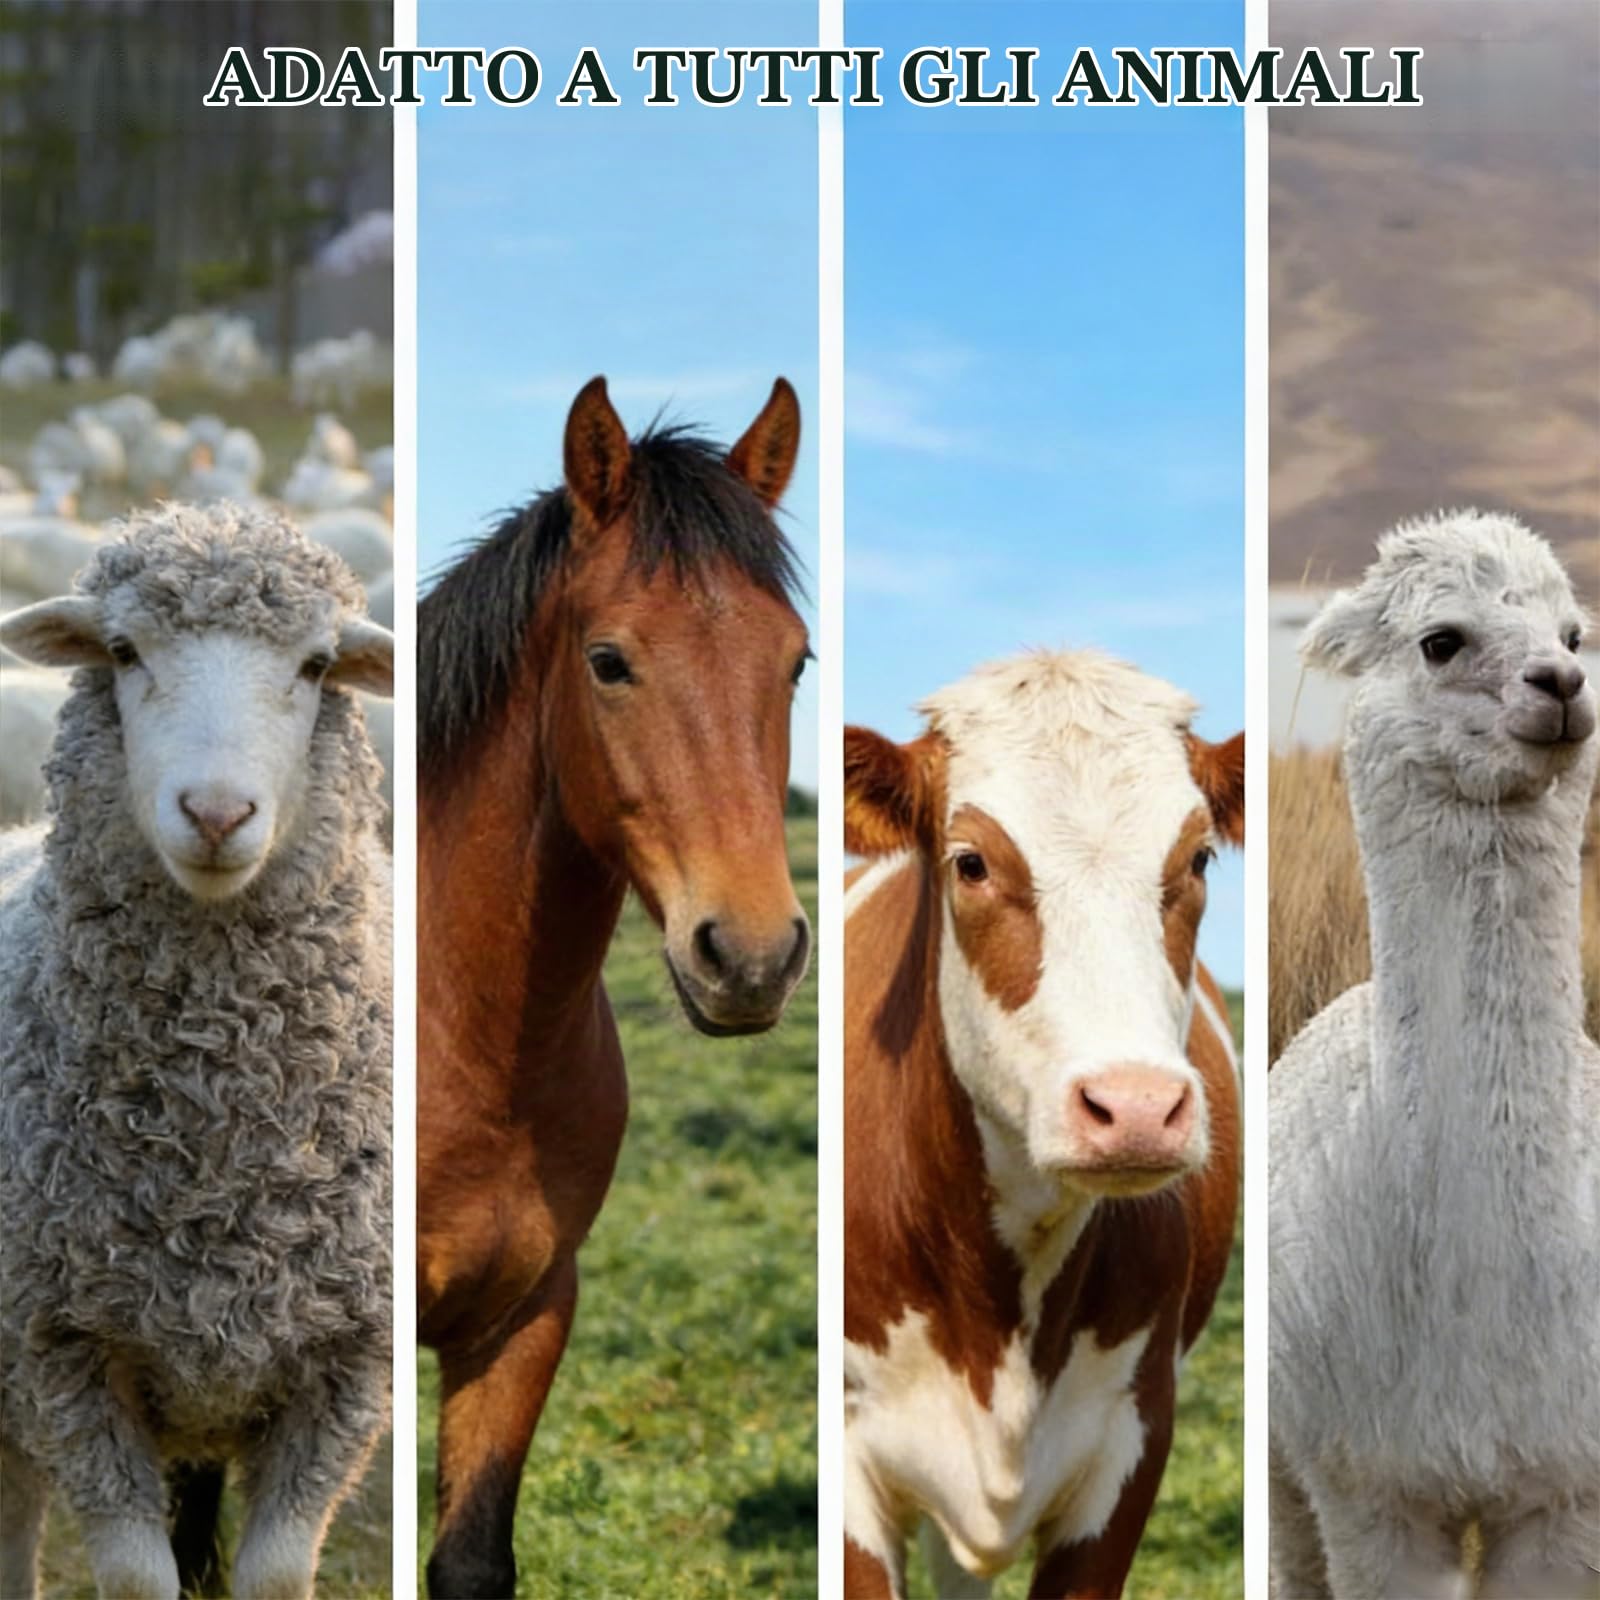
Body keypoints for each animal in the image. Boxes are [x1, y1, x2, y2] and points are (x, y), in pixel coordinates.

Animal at [0, 502, 394, 1600]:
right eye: (125, 651)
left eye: (315, 666)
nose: (217, 814)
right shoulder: (60, 1353)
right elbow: (138, 1580)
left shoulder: (350, 1365)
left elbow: (275, 1578)